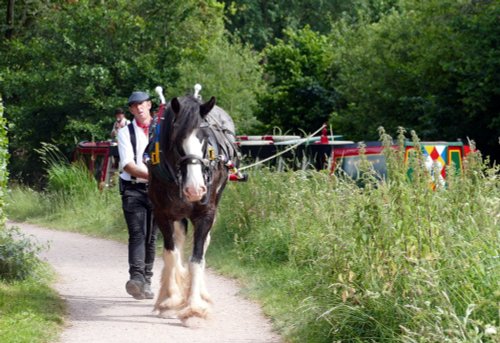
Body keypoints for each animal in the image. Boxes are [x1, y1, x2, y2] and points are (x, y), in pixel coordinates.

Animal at [147, 93, 239, 322]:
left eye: (205, 139)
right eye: (177, 140)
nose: (195, 189)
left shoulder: (206, 214)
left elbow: (196, 259)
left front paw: (195, 307)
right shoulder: (161, 214)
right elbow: (171, 254)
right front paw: (170, 301)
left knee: (203, 246)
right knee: (178, 241)